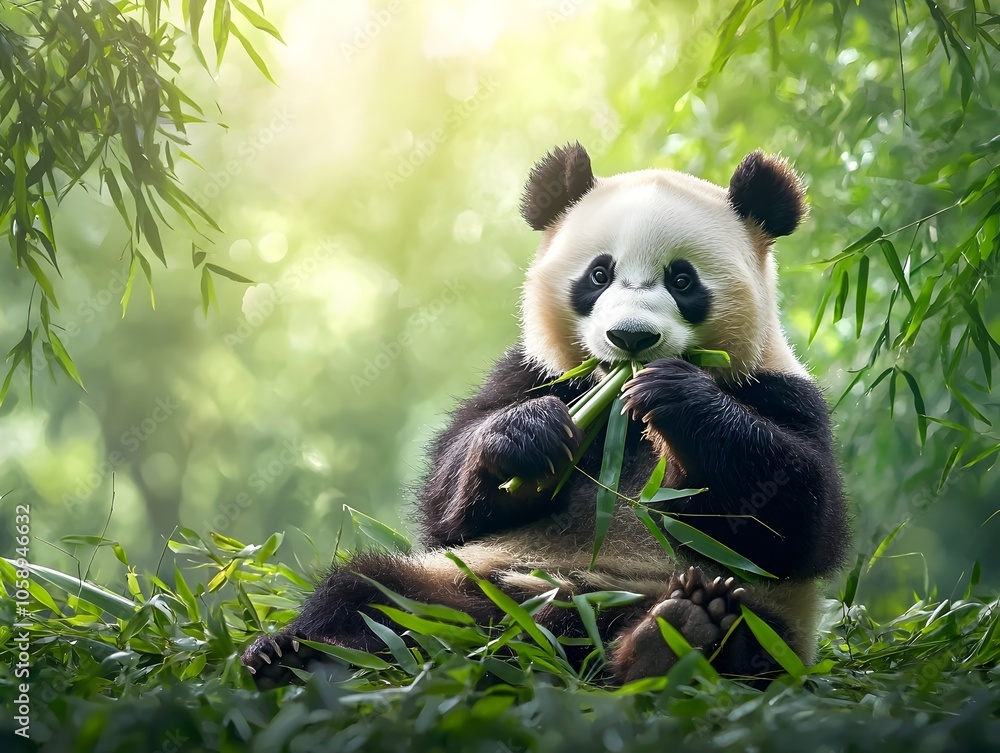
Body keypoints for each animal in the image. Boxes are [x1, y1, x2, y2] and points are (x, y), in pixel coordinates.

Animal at [243, 143, 850, 687]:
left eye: (682, 280)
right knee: (372, 594)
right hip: (473, 580)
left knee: (749, 634)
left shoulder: (779, 390)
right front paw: (529, 438)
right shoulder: (531, 373)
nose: (631, 338)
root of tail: (549, 630)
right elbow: (450, 507)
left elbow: (796, 522)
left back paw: (677, 636)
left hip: (755, 615)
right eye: (599, 274)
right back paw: (285, 656)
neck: (617, 407)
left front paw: (677, 395)